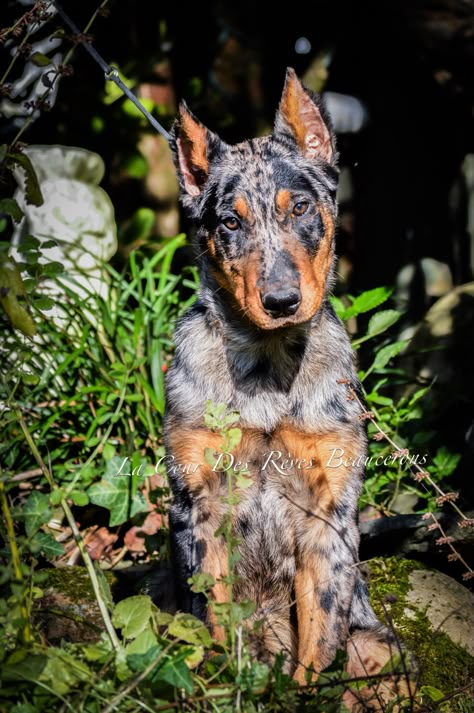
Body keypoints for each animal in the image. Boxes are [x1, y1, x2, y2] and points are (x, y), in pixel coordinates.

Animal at [164, 68, 412, 708]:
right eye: (230, 221)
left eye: (300, 206)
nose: (281, 301)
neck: (269, 369)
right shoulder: (196, 504)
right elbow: (213, 617)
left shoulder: (331, 510)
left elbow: (321, 630)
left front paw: (304, 688)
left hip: (384, 650)